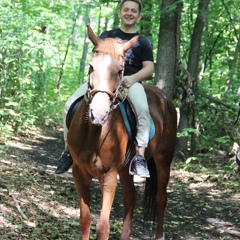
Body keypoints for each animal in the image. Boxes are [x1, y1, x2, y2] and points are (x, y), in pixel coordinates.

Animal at [67, 25, 176, 239]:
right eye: (91, 67)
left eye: (119, 71)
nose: (98, 114)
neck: (93, 134)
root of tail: (164, 98)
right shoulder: (79, 172)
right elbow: (85, 220)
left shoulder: (109, 175)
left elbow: (103, 227)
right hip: (126, 169)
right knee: (131, 198)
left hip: (163, 162)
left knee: (161, 198)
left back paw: (159, 234)